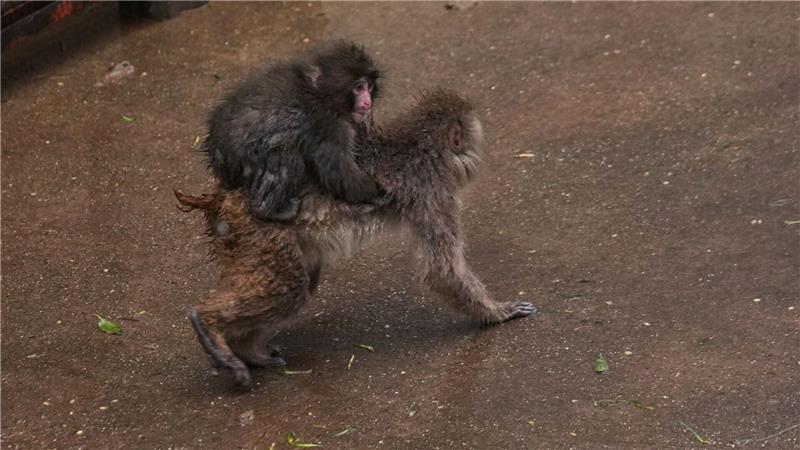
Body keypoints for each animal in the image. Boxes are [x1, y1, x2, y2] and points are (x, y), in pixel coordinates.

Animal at [176, 89, 537, 387]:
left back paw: (246, 349)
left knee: (301, 282)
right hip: (258, 232)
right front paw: (496, 313)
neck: (417, 147)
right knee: (290, 288)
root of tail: (223, 197)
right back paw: (209, 323)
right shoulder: (432, 192)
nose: (478, 152)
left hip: (241, 237)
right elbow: (442, 271)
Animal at [202, 40, 384, 222]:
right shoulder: (330, 125)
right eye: (359, 87)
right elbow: (339, 172)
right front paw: (376, 194)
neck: (321, 94)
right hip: (247, 157)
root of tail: (217, 151)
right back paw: (268, 210)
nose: (367, 102)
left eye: (369, 87)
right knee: (286, 157)